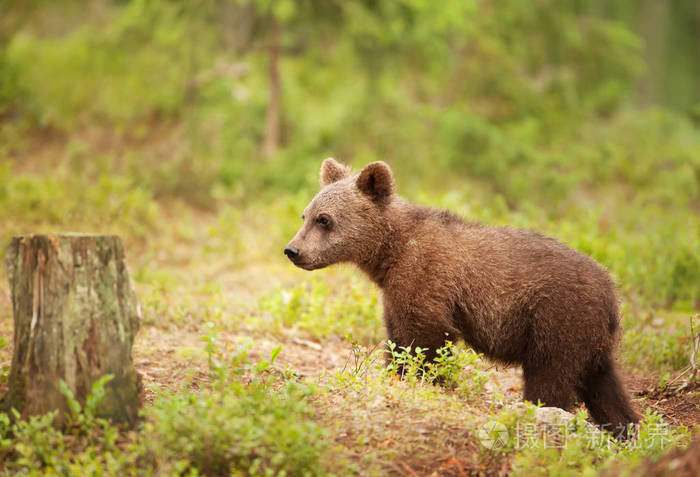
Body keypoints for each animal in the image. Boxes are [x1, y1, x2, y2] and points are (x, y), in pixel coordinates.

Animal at [284, 158, 640, 439]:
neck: (389, 254)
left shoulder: (427, 281)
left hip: (558, 319)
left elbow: (426, 341)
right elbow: (398, 341)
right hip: (594, 341)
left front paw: (431, 383)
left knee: (551, 377)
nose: (293, 250)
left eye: (325, 219)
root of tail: (611, 291)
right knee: (605, 386)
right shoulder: (396, 293)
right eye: (305, 215)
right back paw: (627, 430)